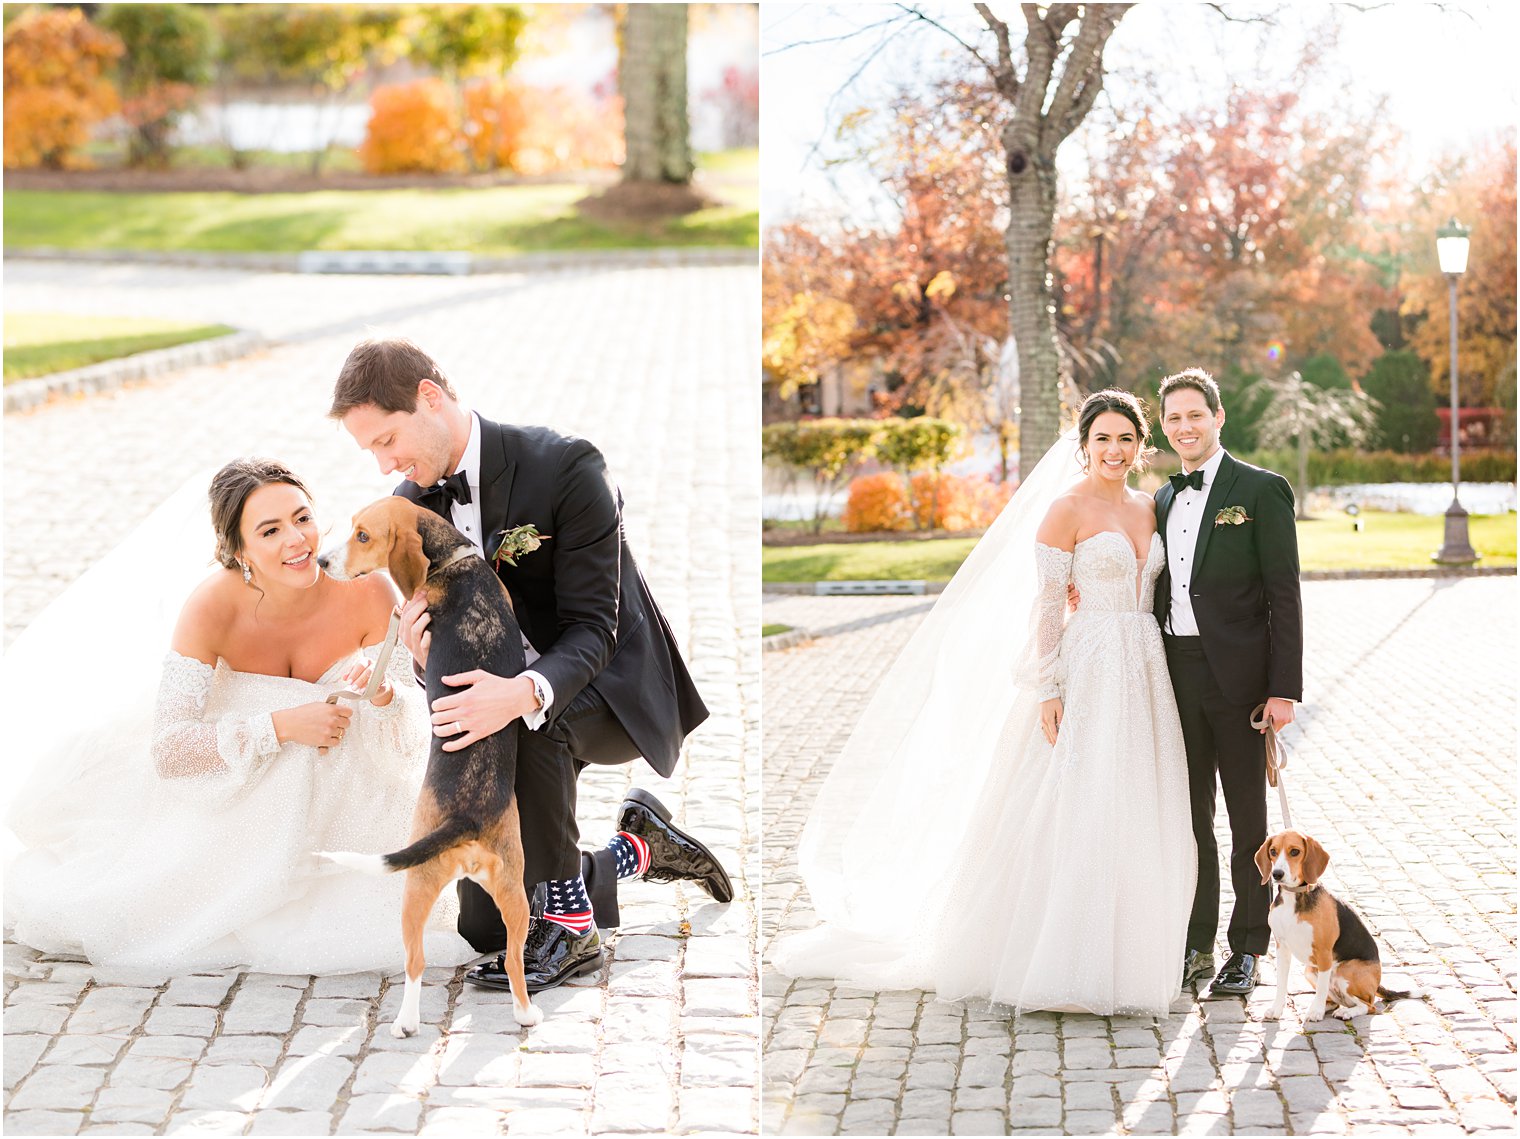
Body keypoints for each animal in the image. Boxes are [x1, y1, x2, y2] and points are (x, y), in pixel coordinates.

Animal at [314, 492, 541, 1034]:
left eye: (363, 535)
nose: (321, 562)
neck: (451, 560)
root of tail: (467, 820)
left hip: (414, 886)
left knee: (414, 961)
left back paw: (407, 1020)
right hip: (514, 890)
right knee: (515, 958)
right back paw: (525, 1013)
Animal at [1252, 827, 1416, 1021]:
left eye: (1294, 852)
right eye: (1273, 851)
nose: (1277, 874)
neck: (1295, 896)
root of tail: (1377, 983)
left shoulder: (1324, 953)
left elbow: (1322, 988)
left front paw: (1316, 1012)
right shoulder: (1282, 948)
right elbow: (1281, 984)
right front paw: (1277, 1009)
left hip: (1346, 971)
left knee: (1368, 1006)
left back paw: (1345, 1012)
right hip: (1309, 970)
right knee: (1335, 1000)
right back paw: (1327, 1007)